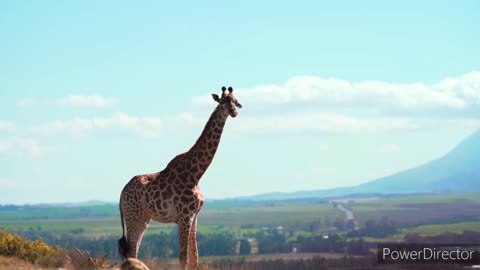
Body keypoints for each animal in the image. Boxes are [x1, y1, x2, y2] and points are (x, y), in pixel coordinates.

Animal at [116, 85, 244, 268]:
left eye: (235, 101)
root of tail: (121, 194)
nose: (234, 112)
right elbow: (183, 257)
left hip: (143, 219)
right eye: (222, 102)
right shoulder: (184, 216)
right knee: (131, 251)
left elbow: (195, 257)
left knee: (133, 252)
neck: (196, 173)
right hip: (134, 218)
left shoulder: (194, 216)